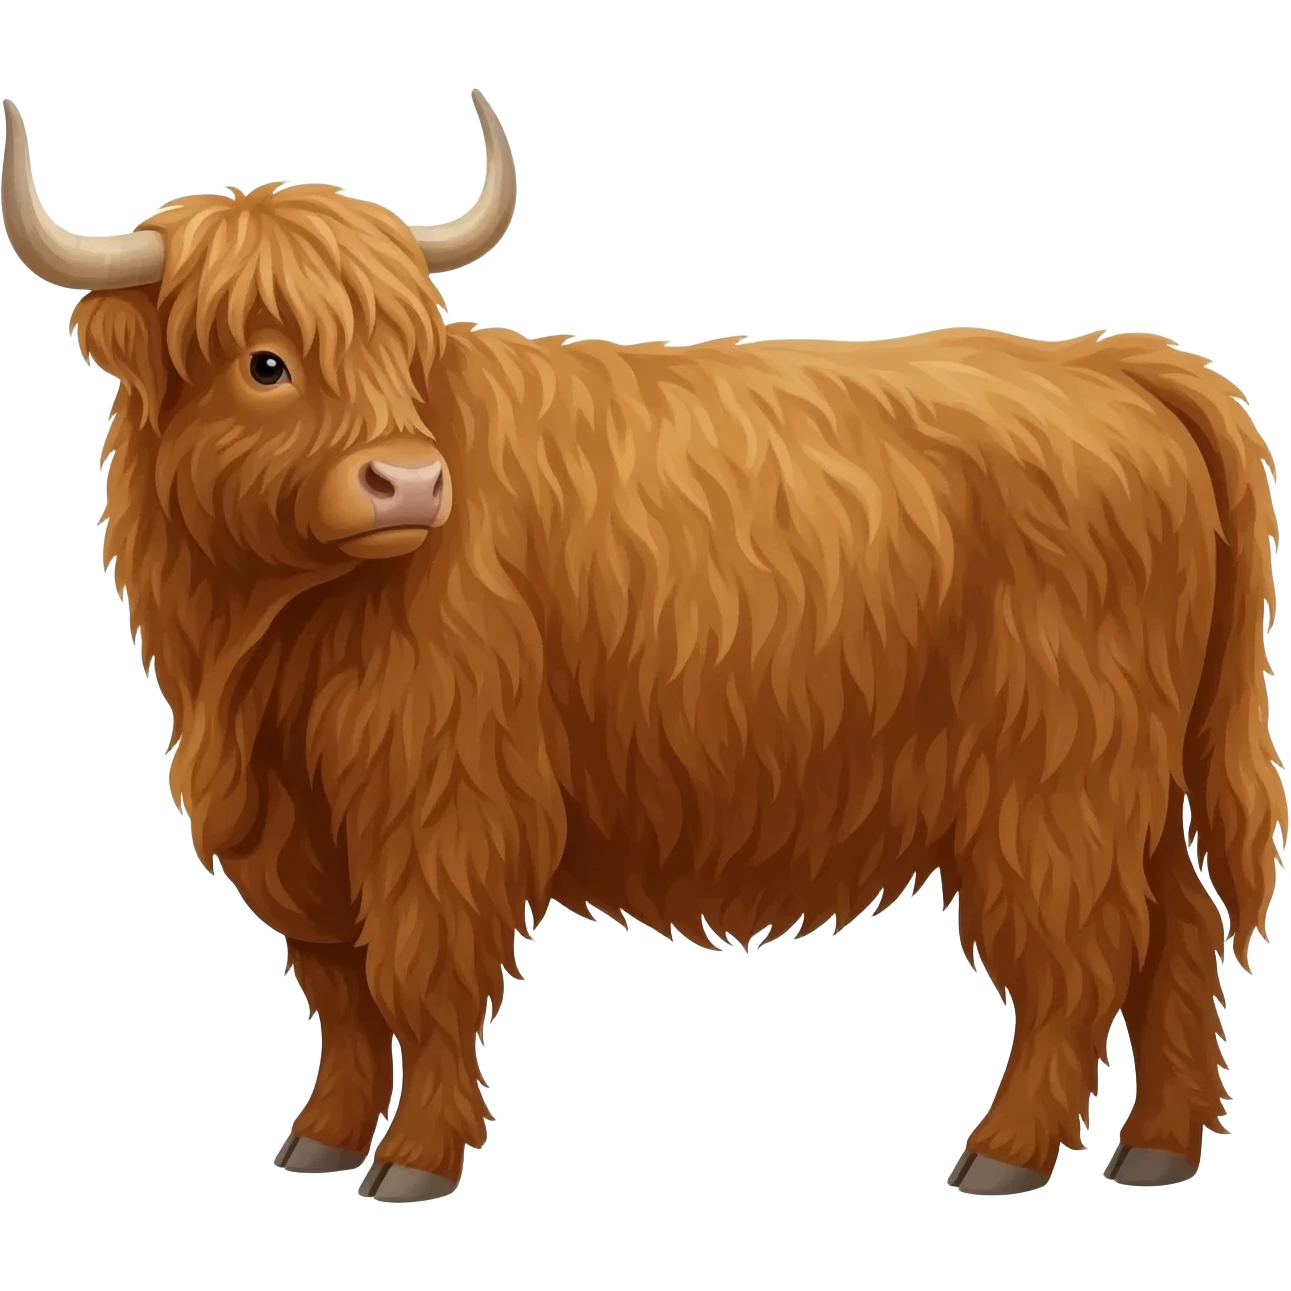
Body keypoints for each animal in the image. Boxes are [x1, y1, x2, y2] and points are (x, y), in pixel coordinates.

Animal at [2, 91, 1285, 1204]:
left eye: (403, 358)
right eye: (263, 361)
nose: (410, 482)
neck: (257, 652)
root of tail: (1100, 362)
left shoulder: (440, 800)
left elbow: (418, 974)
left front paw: (413, 1158)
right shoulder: (298, 821)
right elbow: (337, 986)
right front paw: (320, 1137)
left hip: (1053, 783)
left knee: (1080, 956)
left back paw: (1005, 1153)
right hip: (1124, 780)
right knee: (1173, 928)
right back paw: (1156, 1148)